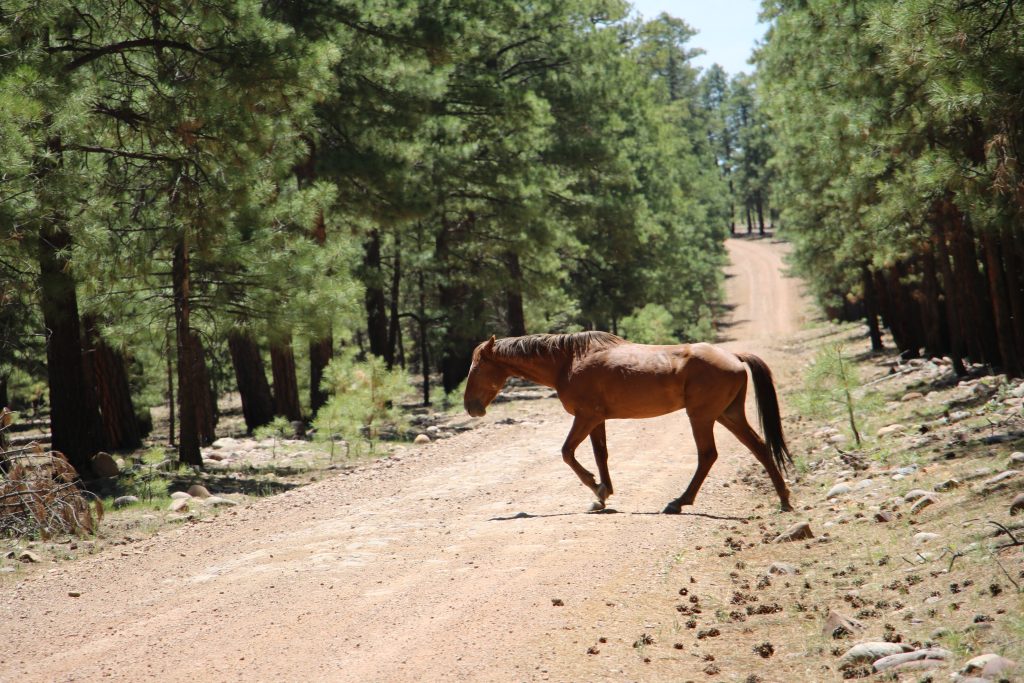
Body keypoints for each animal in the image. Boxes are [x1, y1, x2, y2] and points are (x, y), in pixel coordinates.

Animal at [463, 331, 793, 513]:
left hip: (702, 417)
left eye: (476, 368)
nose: (470, 407)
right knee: (759, 448)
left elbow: (568, 453)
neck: (567, 361)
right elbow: (600, 455)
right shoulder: (596, 420)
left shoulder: (586, 417)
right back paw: (784, 499)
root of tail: (734, 357)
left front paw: (597, 490)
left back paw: (678, 502)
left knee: (708, 456)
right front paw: (602, 494)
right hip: (728, 415)